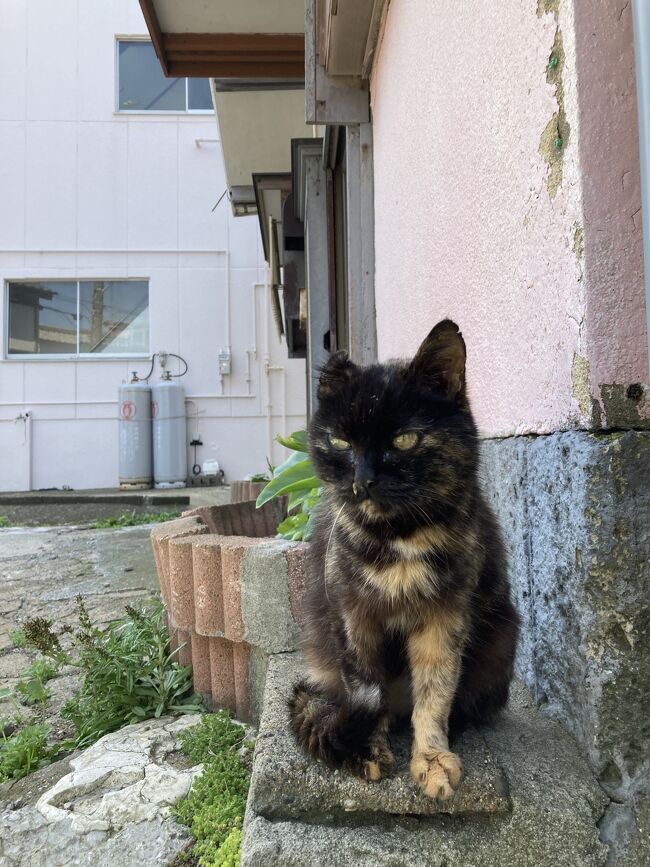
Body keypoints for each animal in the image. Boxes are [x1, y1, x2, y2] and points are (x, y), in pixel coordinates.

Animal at [288, 322, 516, 804]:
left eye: (404, 439)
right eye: (340, 441)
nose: (362, 482)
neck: (399, 539)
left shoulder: (445, 618)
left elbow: (435, 691)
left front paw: (431, 760)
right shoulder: (352, 618)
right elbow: (364, 684)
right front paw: (368, 751)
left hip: (502, 639)